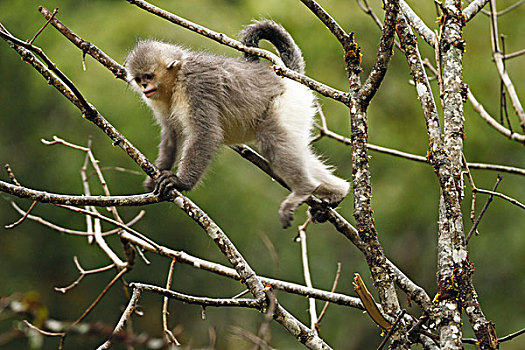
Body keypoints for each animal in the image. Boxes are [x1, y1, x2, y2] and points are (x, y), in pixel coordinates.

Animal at [125, 19, 350, 228]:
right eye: (139, 79)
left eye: (149, 76)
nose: (144, 86)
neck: (176, 80)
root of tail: (287, 78)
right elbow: (171, 134)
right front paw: (156, 176)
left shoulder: (195, 86)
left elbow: (207, 134)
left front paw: (180, 182)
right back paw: (337, 192)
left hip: (288, 104)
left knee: (271, 138)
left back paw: (303, 190)